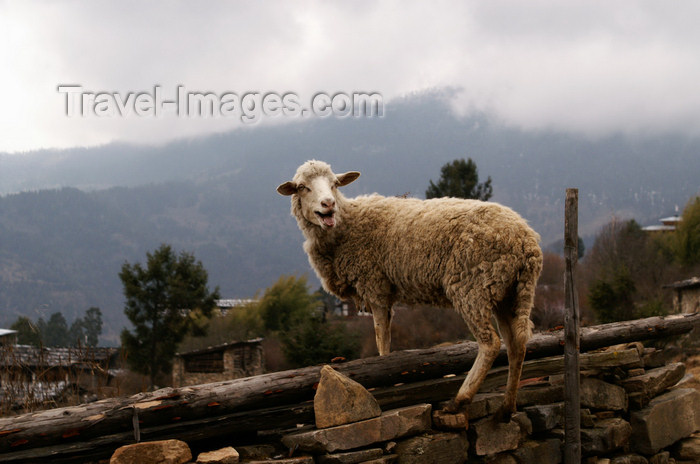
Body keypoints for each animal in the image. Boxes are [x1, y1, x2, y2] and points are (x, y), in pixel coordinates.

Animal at [276, 159, 544, 420]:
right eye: (303, 187)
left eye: (334, 184)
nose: (328, 204)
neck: (346, 226)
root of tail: (528, 243)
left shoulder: (374, 285)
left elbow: (381, 339)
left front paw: (383, 376)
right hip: (507, 292)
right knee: (516, 344)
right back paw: (507, 407)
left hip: (472, 287)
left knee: (491, 343)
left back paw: (459, 400)